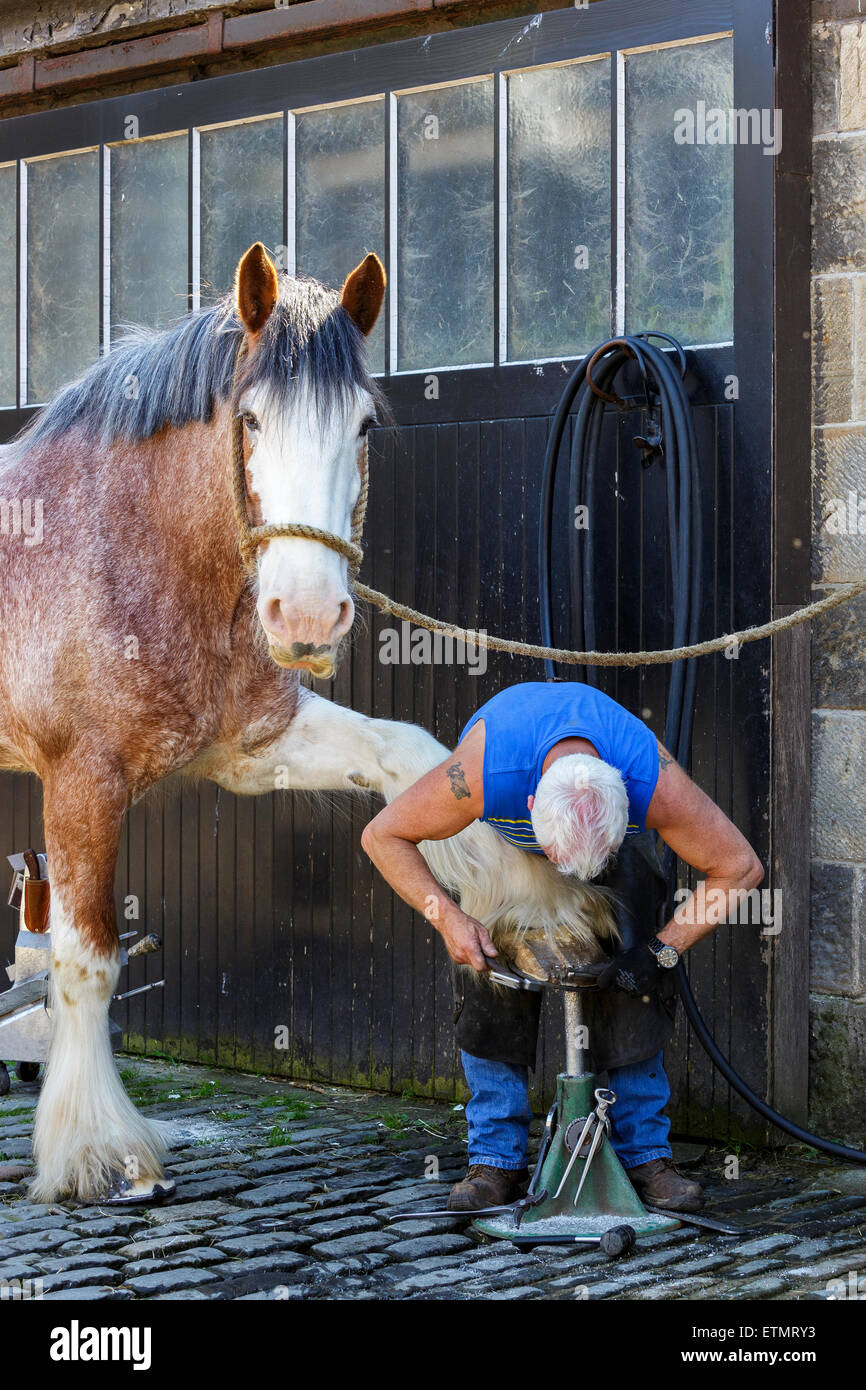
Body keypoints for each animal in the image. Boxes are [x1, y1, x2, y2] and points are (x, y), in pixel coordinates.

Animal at [0, 242, 614, 1204]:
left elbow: (412, 755)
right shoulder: (81, 780)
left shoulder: (255, 744)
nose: (309, 616)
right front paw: (97, 1152)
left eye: (361, 428)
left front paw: (544, 909)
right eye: (250, 420)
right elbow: (87, 960)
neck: (120, 546)